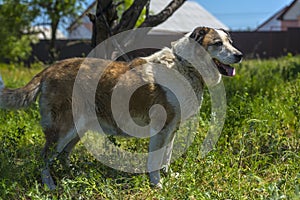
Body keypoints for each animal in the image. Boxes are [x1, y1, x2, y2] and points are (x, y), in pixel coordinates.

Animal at [0, 26, 243, 189]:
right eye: (217, 43)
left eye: (230, 41)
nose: (239, 55)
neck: (185, 65)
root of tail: (51, 68)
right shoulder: (161, 129)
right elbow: (155, 160)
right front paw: (157, 185)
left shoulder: (172, 128)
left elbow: (166, 157)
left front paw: (168, 176)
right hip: (63, 128)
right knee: (45, 157)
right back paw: (50, 185)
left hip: (78, 128)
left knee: (62, 155)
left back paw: (71, 174)